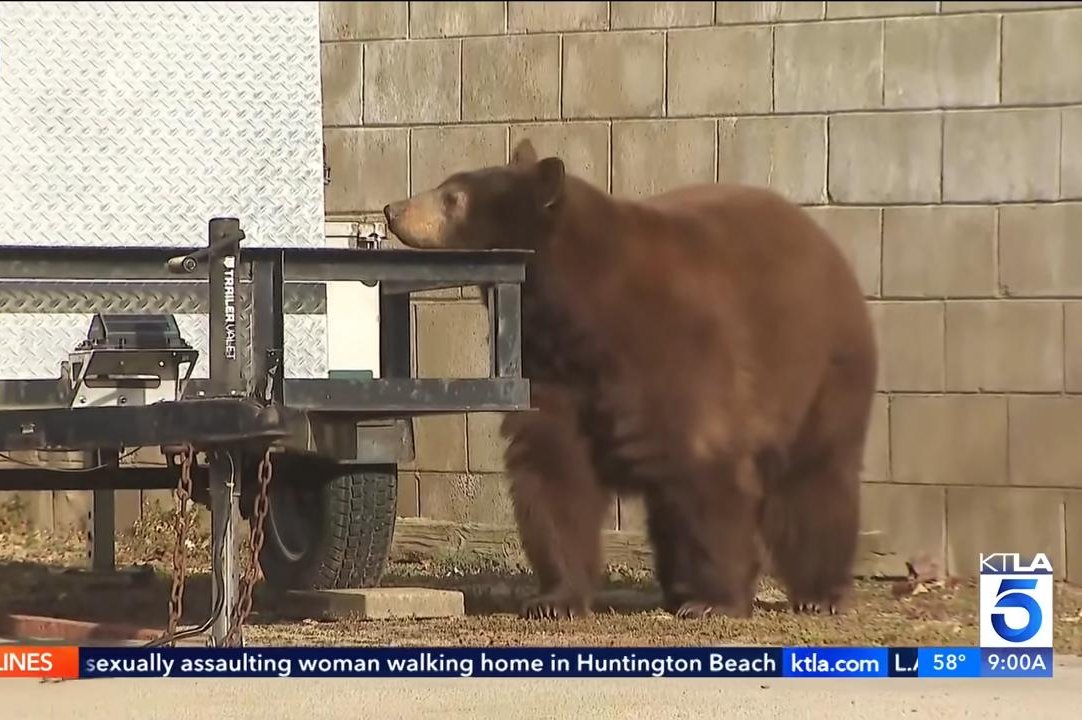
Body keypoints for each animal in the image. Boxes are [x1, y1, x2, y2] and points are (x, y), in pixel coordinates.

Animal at [383, 139, 878, 622]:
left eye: (453, 196)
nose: (392, 208)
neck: (582, 313)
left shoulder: (676, 348)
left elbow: (707, 469)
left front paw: (715, 600)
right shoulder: (552, 372)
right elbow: (554, 472)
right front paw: (554, 598)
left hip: (821, 368)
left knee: (815, 476)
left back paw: (819, 592)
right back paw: (678, 588)